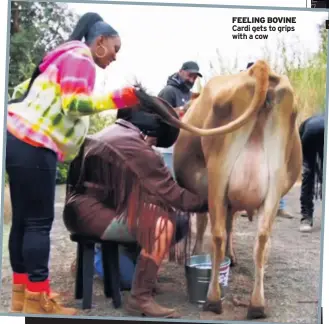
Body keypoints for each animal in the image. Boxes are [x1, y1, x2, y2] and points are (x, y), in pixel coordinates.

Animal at [167, 60, 302, 318]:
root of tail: (259, 68)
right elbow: (230, 224)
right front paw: (233, 256)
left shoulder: (205, 192)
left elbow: (205, 224)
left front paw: (197, 251)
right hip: (275, 184)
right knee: (262, 239)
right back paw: (257, 305)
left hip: (218, 176)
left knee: (218, 234)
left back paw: (213, 300)